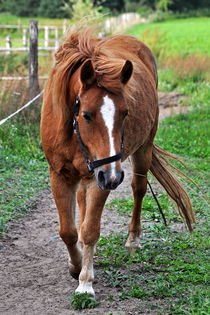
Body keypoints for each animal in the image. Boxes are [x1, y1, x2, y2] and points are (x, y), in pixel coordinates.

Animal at [40, 27, 195, 298]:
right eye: (86, 114)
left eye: (125, 112)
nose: (113, 176)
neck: (73, 132)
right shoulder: (60, 174)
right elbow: (68, 231)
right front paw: (76, 264)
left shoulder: (100, 177)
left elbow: (90, 230)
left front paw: (85, 282)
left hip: (143, 150)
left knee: (138, 189)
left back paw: (133, 240)